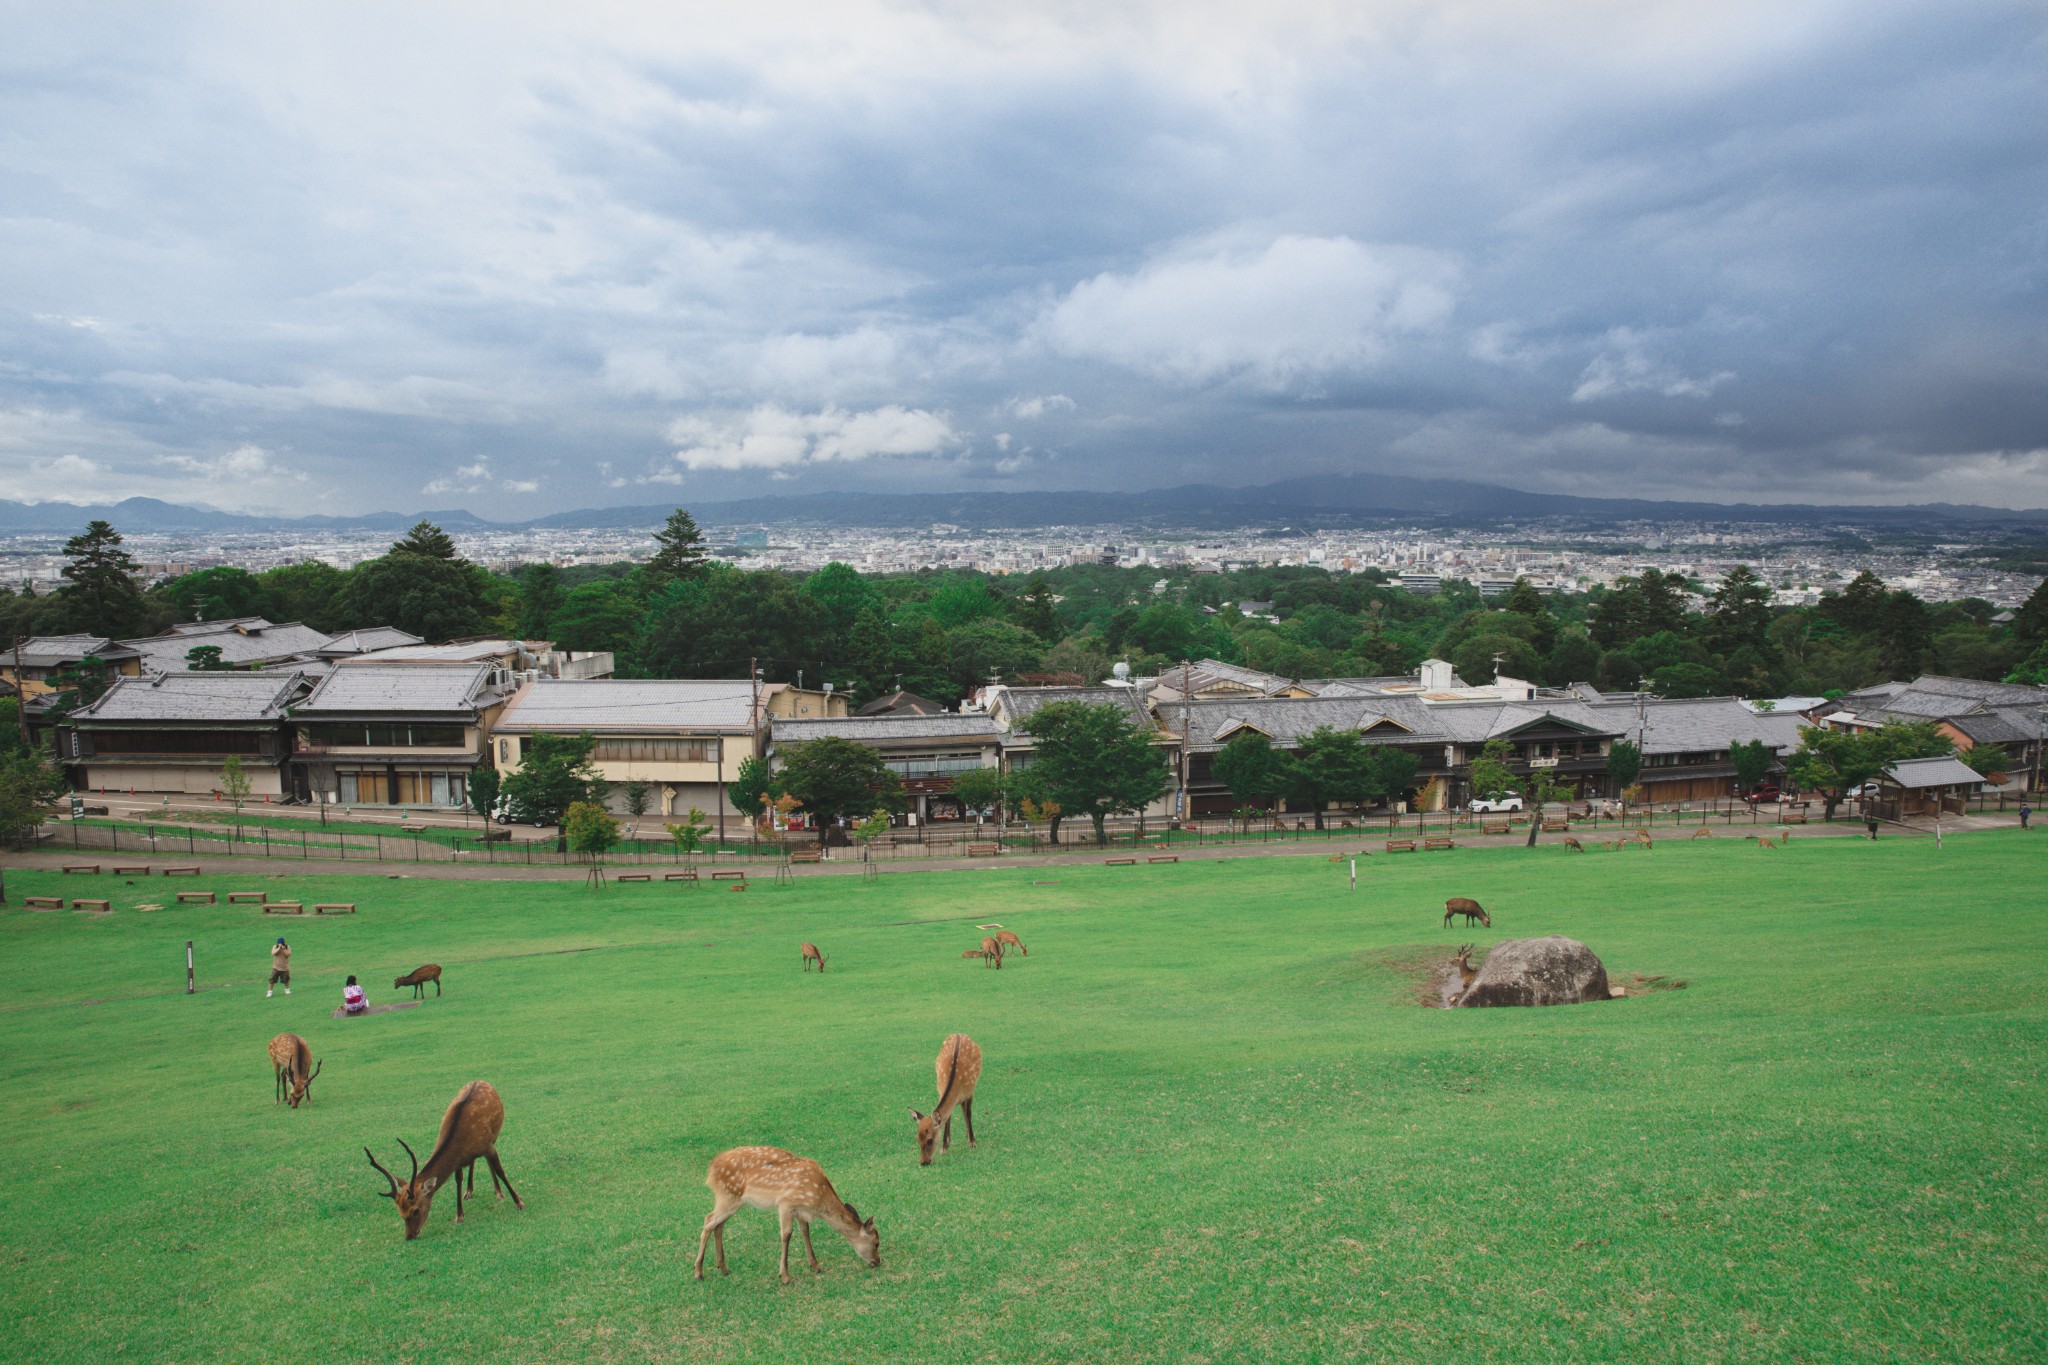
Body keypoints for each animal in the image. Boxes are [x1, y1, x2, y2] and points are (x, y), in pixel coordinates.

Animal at [368, 1080, 528, 1244]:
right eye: (400, 1212)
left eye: (415, 1210)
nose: (410, 1236)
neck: (461, 1142)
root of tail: (480, 1080)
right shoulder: (458, 1161)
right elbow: (458, 1180)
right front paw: (459, 1215)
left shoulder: (488, 1146)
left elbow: (500, 1171)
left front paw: (519, 1201)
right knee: (473, 1162)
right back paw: (469, 1191)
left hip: (494, 1136)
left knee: (488, 1163)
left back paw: (498, 1192)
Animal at [696, 1146, 880, 1285]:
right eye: (877, 1243)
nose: (878, 1262)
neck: (818, 1198)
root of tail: (711, 1170)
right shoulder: (786, 1203)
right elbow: (786, 1235)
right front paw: (784, 1276)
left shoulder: (800, 1210)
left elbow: (805, 1232)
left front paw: (816, 1266)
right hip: (728, 1196)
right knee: (708, 1220)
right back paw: (698, 1272)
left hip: (733, 1200)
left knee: (718, 1225)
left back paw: (723, 1268)